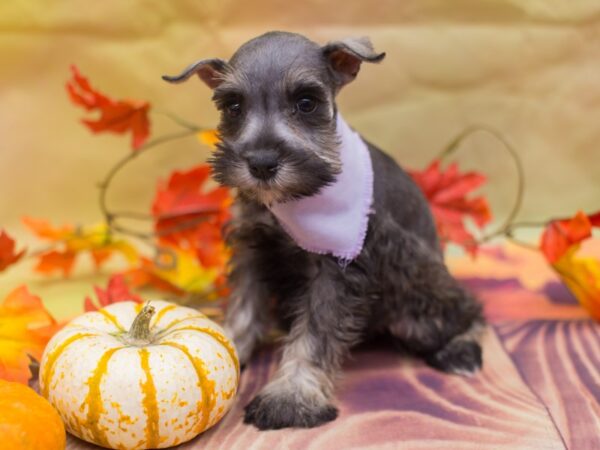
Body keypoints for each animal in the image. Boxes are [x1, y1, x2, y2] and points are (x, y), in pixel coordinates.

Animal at [163, 29, 482, 430]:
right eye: (233, 106)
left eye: (306, 103)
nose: (262, 163)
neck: (292, 202)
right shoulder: (252, 248)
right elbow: (244, 307)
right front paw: (228, 346)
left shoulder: (338, 267)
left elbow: (315, 334)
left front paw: (291, 395)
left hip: (418, 296)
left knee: (467, 309)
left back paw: (461, 349)